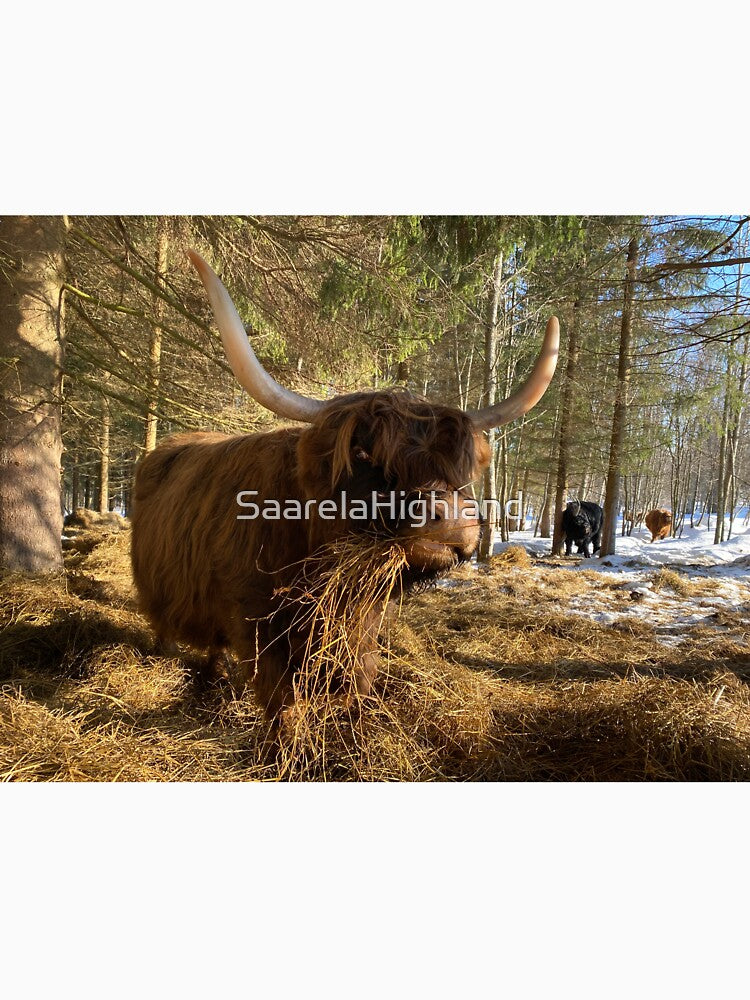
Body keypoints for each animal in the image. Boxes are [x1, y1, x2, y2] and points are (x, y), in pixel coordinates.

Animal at [131, 252, 559, 721]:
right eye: (362, 452)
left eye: (462, 465)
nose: (452, 518)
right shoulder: (255, 623)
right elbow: (281, 704)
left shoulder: (361, 625)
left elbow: (359, 679)